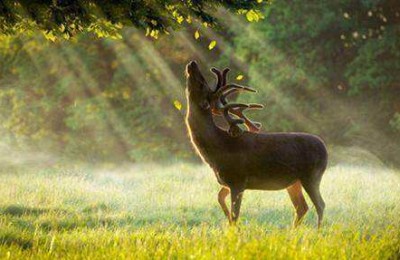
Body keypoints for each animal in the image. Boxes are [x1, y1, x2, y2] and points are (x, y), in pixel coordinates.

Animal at [184, 61, 328, 228]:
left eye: (202, 84)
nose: (192, 63)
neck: (217, 149)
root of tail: (325, 149)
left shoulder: (238, 180)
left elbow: (235, 215)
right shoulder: (227, 182)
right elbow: (220, 199)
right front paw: (227, 222)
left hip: (312, 175)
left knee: (320, 204)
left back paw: (317, 231)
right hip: (293, 181)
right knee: (301, 207)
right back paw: (293, 231)